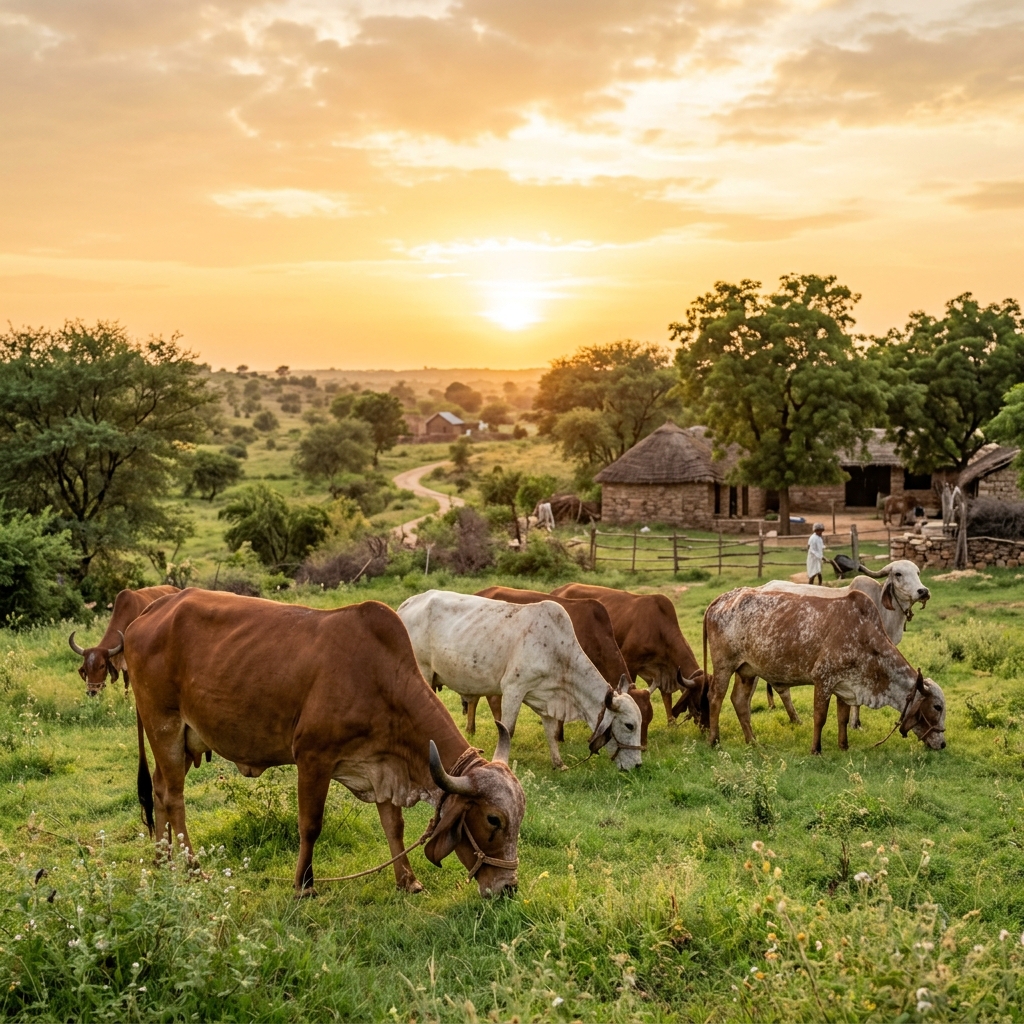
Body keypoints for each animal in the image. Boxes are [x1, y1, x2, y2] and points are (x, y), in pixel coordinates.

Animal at [123, 589, 524, 898]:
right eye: (493, 819)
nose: (508, 888)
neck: (378, 677)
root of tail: (153, 610)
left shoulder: (382, 765)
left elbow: (393, 826)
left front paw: (408, 880)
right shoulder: (313, 758)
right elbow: (310, 825)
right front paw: (304, 885)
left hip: (183, 738)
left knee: (159, 788)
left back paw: (162, 861)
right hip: (164, 725)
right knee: (174, 797)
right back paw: (192, 868)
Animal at [551, 583, 705, 726]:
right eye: (700, 701)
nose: (705, 727)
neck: (659, 627)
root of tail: (558, 589)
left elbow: (666, 697)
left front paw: (671, 724)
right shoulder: (630, 661)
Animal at [702, 587, 946, 754]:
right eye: (937, 706)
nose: (943, 743)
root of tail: (722, 598)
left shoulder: (846, 686)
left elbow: (843, 718)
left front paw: (843, 745)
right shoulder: (823, 679)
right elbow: (820, 718)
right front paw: (816, 749)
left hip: (747, 671)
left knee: (740, 701)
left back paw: (752, 741)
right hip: (724, 665)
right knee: (715, 697)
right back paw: (714, 740)